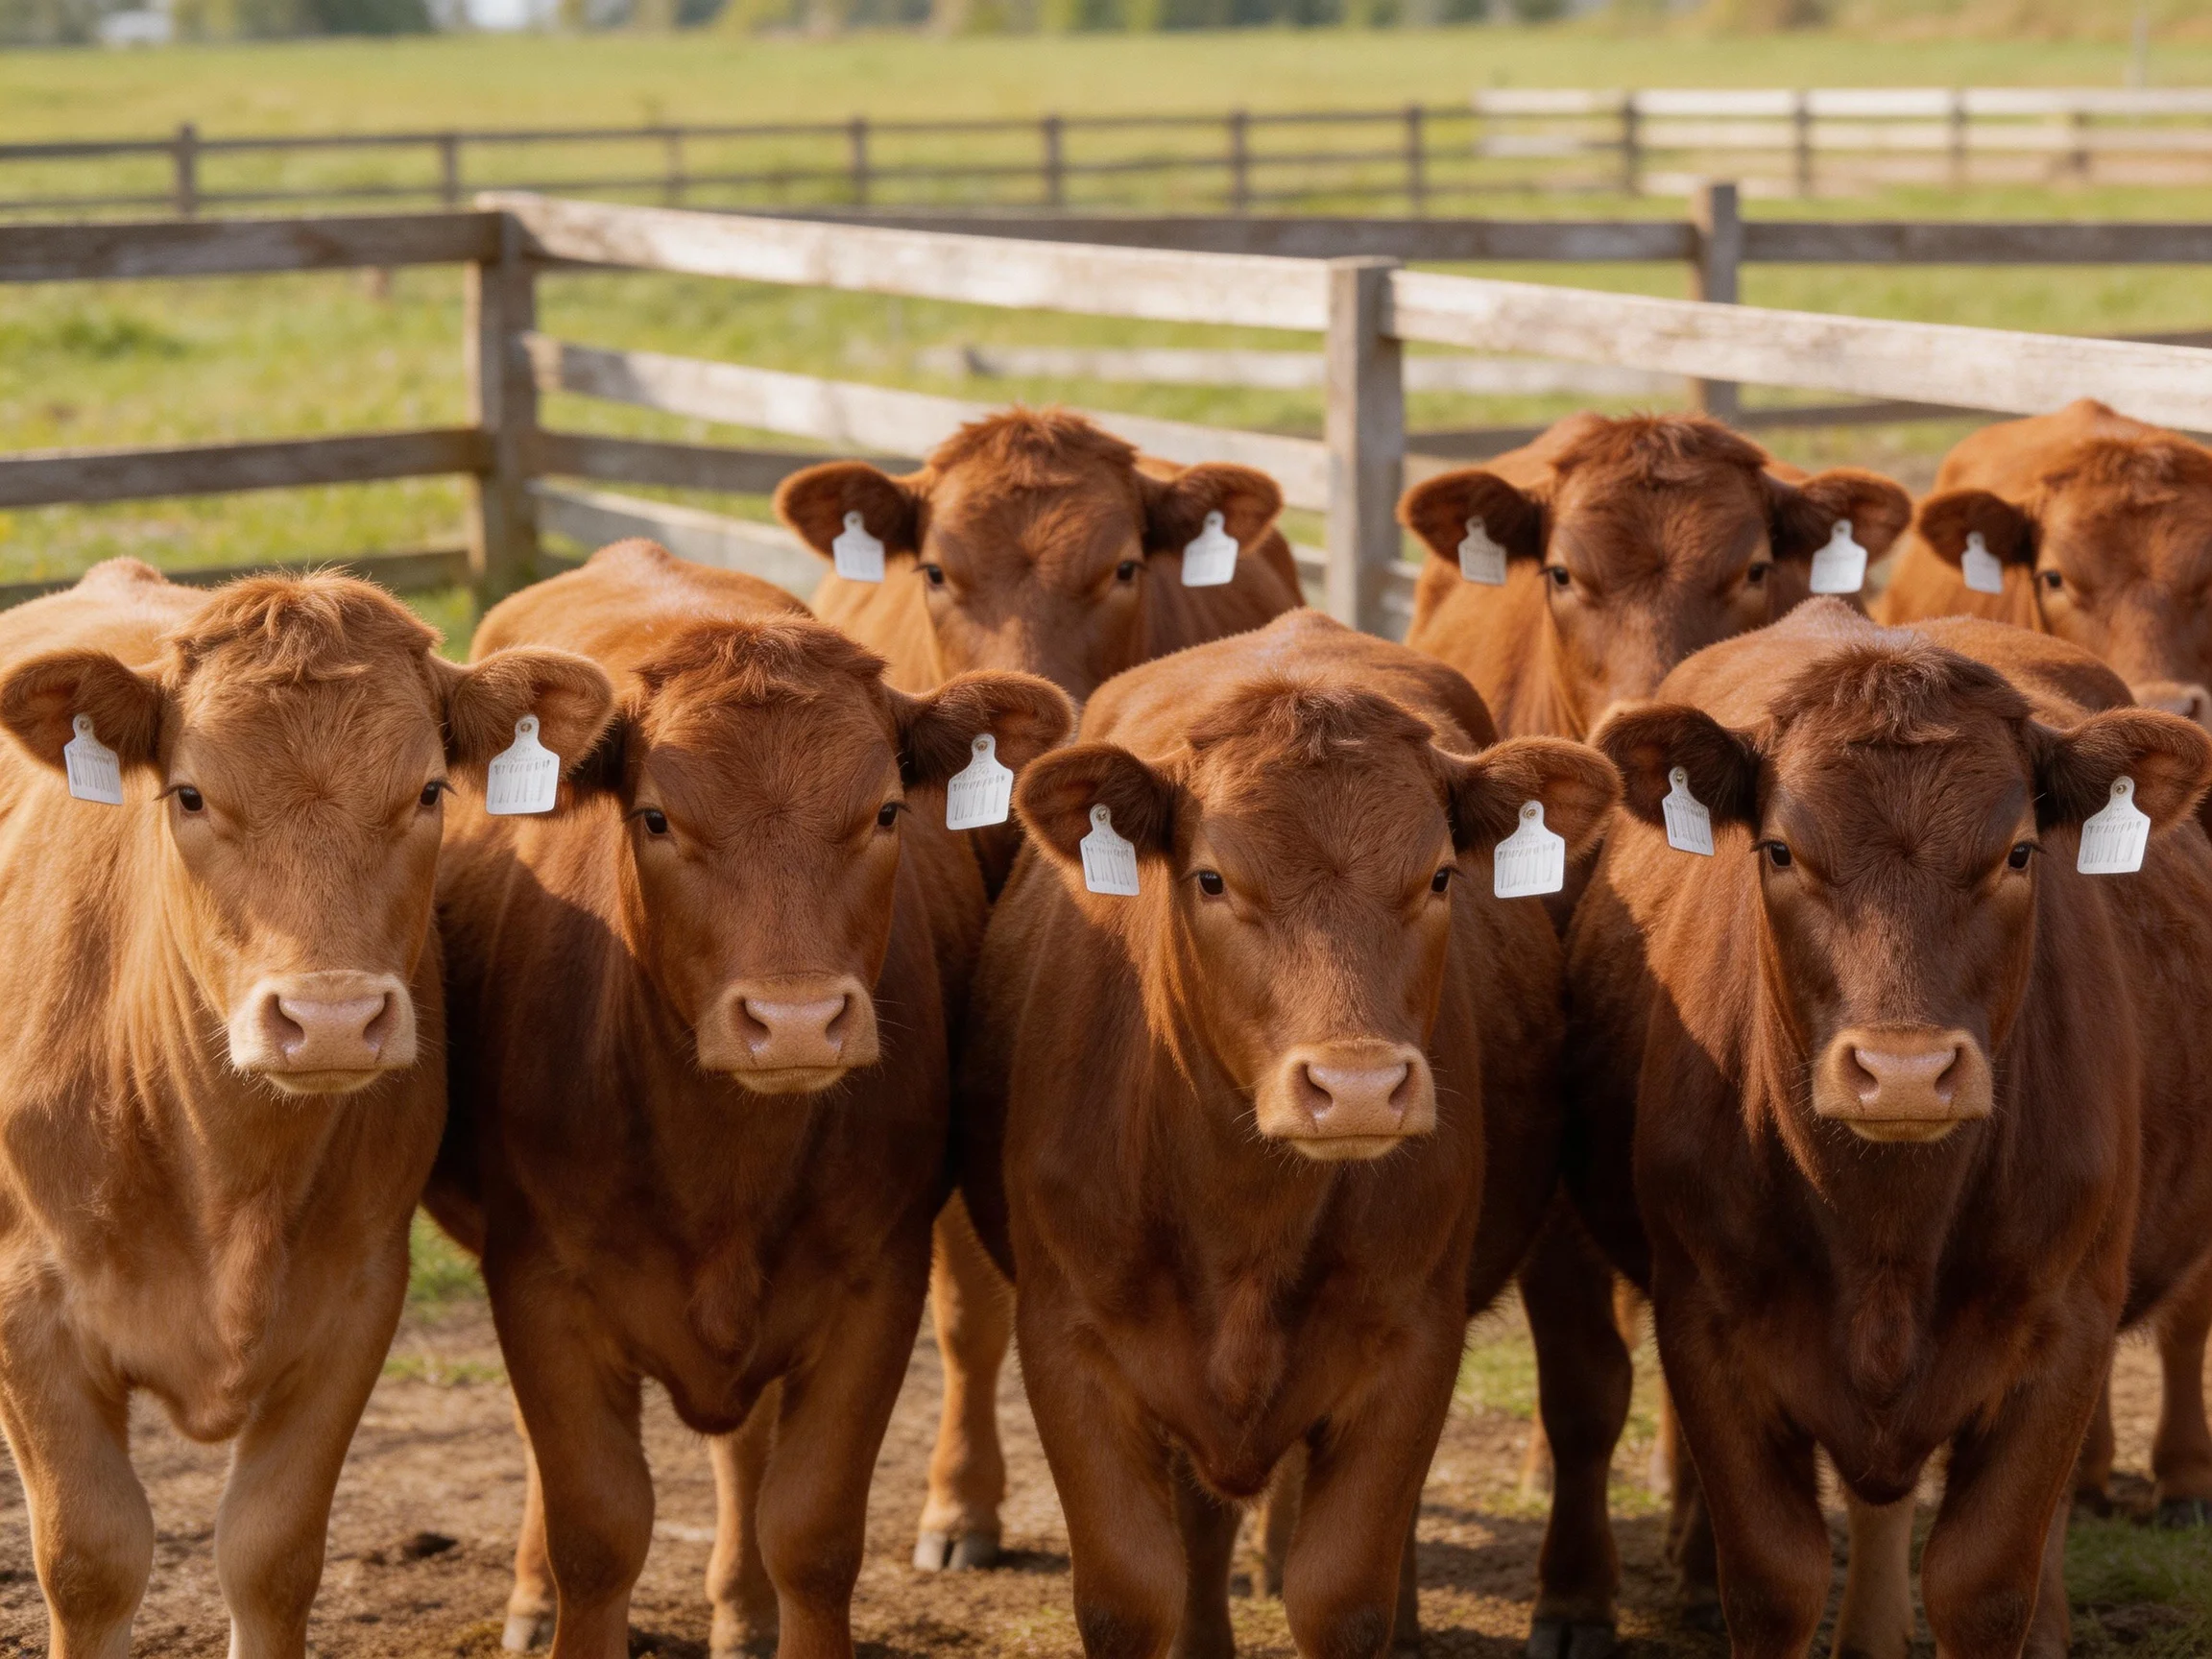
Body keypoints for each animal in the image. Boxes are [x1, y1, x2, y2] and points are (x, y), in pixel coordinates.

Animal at [0, 558, 610, 1659]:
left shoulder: (355, 1301)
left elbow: (271, 1555)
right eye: (190, 793)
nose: (329, 1019)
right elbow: (91, 1559)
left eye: (429, 790)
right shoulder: (27, 1309)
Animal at [423, 540, 1073, 1659]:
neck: (721, 1161)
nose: (797, 1019)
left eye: (887, 811)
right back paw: (532, 1596)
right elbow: (598, 1530)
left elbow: (810, 1530)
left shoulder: (873, 1282)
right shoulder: (538, 1283)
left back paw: (742, 1606)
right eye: (656, 817)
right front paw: (559, 1589)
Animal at [955, 608, 1621, 1659]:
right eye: (1212, 878)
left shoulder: (1411, 1343)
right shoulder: (1068, 1340)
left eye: (1440, 876)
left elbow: (1342, 1592)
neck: (1244, 1220)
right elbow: (1131, 1591)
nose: (1356, 1088)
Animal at [1568, 599, 2212, 1659]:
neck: (1886, 1235)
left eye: (2019, 852)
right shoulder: (1704, 1323)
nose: (1904, 1071)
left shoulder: (2066, 1331)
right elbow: (1775, 1580)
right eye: (1779, 850)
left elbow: (1985, 1581)